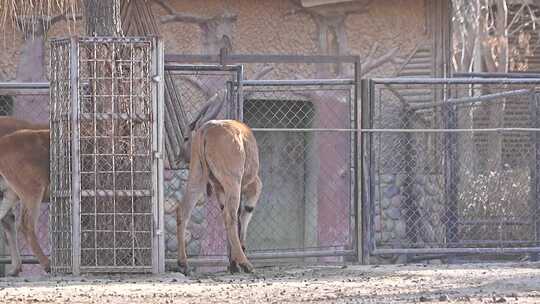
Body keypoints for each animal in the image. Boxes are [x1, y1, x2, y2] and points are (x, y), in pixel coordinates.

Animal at [176, 96, 262, 274]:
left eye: (186, 137)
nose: (178, 158)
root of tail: (206, 130)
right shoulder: (252, 184)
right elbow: (244, 213)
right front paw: (237, 259)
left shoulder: (219, 189)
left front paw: (232, 263)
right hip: (233, 182)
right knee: (230, 216)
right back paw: (246, 263)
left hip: (197, 176)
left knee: (183, 210)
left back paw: (183, 263)